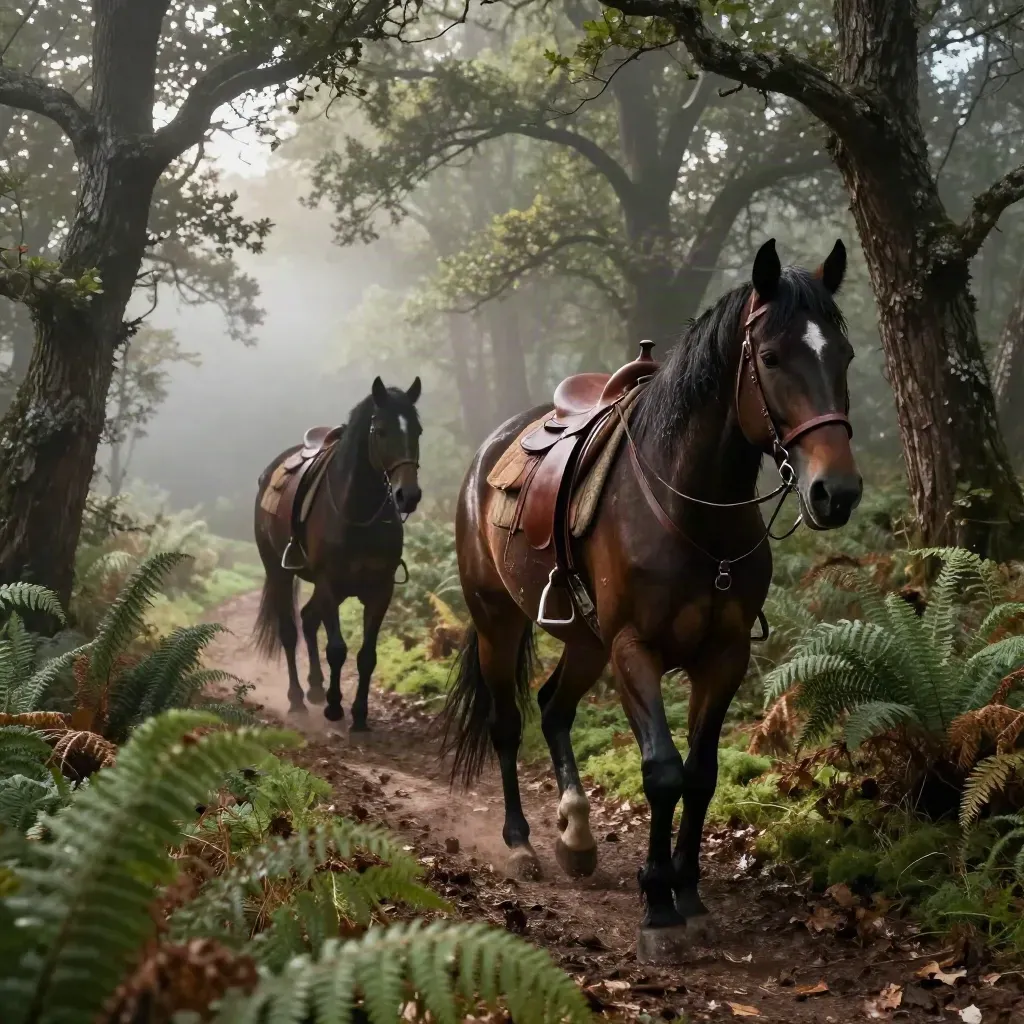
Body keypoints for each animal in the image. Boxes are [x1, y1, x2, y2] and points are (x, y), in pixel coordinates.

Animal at [253, 376, 423, 728]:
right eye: (381, 431)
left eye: (417, 431)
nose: (408, 495)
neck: (357, 511)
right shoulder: (329, 583)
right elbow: (336, 649)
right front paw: (334, 706)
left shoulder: (380, 589)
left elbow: (367, 655)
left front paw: (359, 714)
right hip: (278, 572)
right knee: (290, 631)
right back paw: (298, 700)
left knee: (308, 618)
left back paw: (316, 688)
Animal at [441, 238, 861, 963]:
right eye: (772, 358)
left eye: (845, 353)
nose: (836, 491)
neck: (690, 509)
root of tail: (487, 457)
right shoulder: (635, 650)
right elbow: (663, 772)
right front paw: (657, 906)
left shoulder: (721, 657)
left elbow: (702, 774)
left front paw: (687, 894)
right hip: (499, 622)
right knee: (508, 723)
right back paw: (522, 843)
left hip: (585, 641)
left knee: (553, 708)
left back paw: (577, 835)